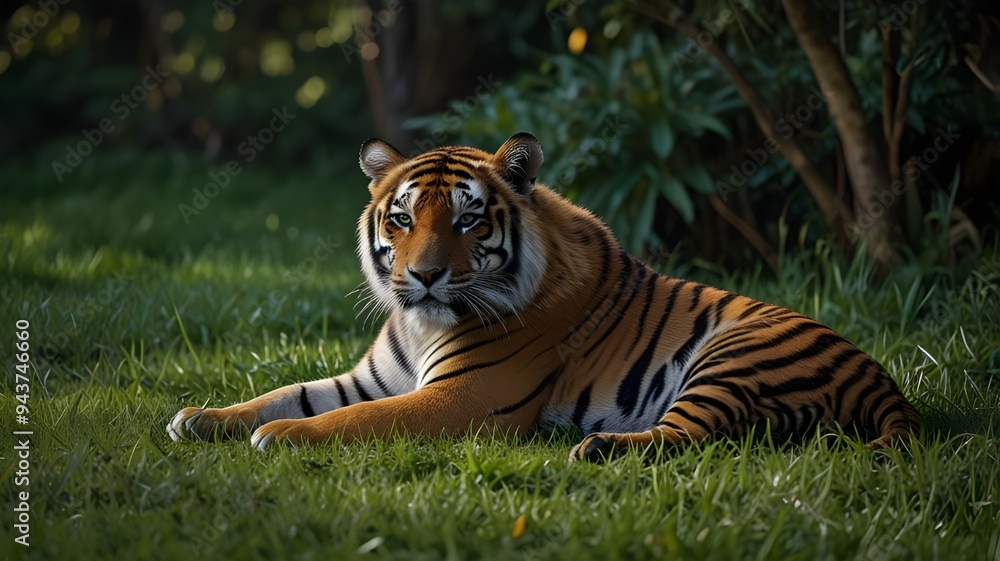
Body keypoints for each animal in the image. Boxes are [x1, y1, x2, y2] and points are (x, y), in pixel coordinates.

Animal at [167, 132, 921, 462]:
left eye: (468, 221)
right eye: (402, 218)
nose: (425, 276)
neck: (419, 324)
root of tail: (883, 381)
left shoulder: (461, 397)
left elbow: (354, 419)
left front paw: (281, 437)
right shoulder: (371, 377)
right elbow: (282, 392)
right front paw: (200, 417)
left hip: (733, 353)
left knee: (690, 435)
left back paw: (595, 447)